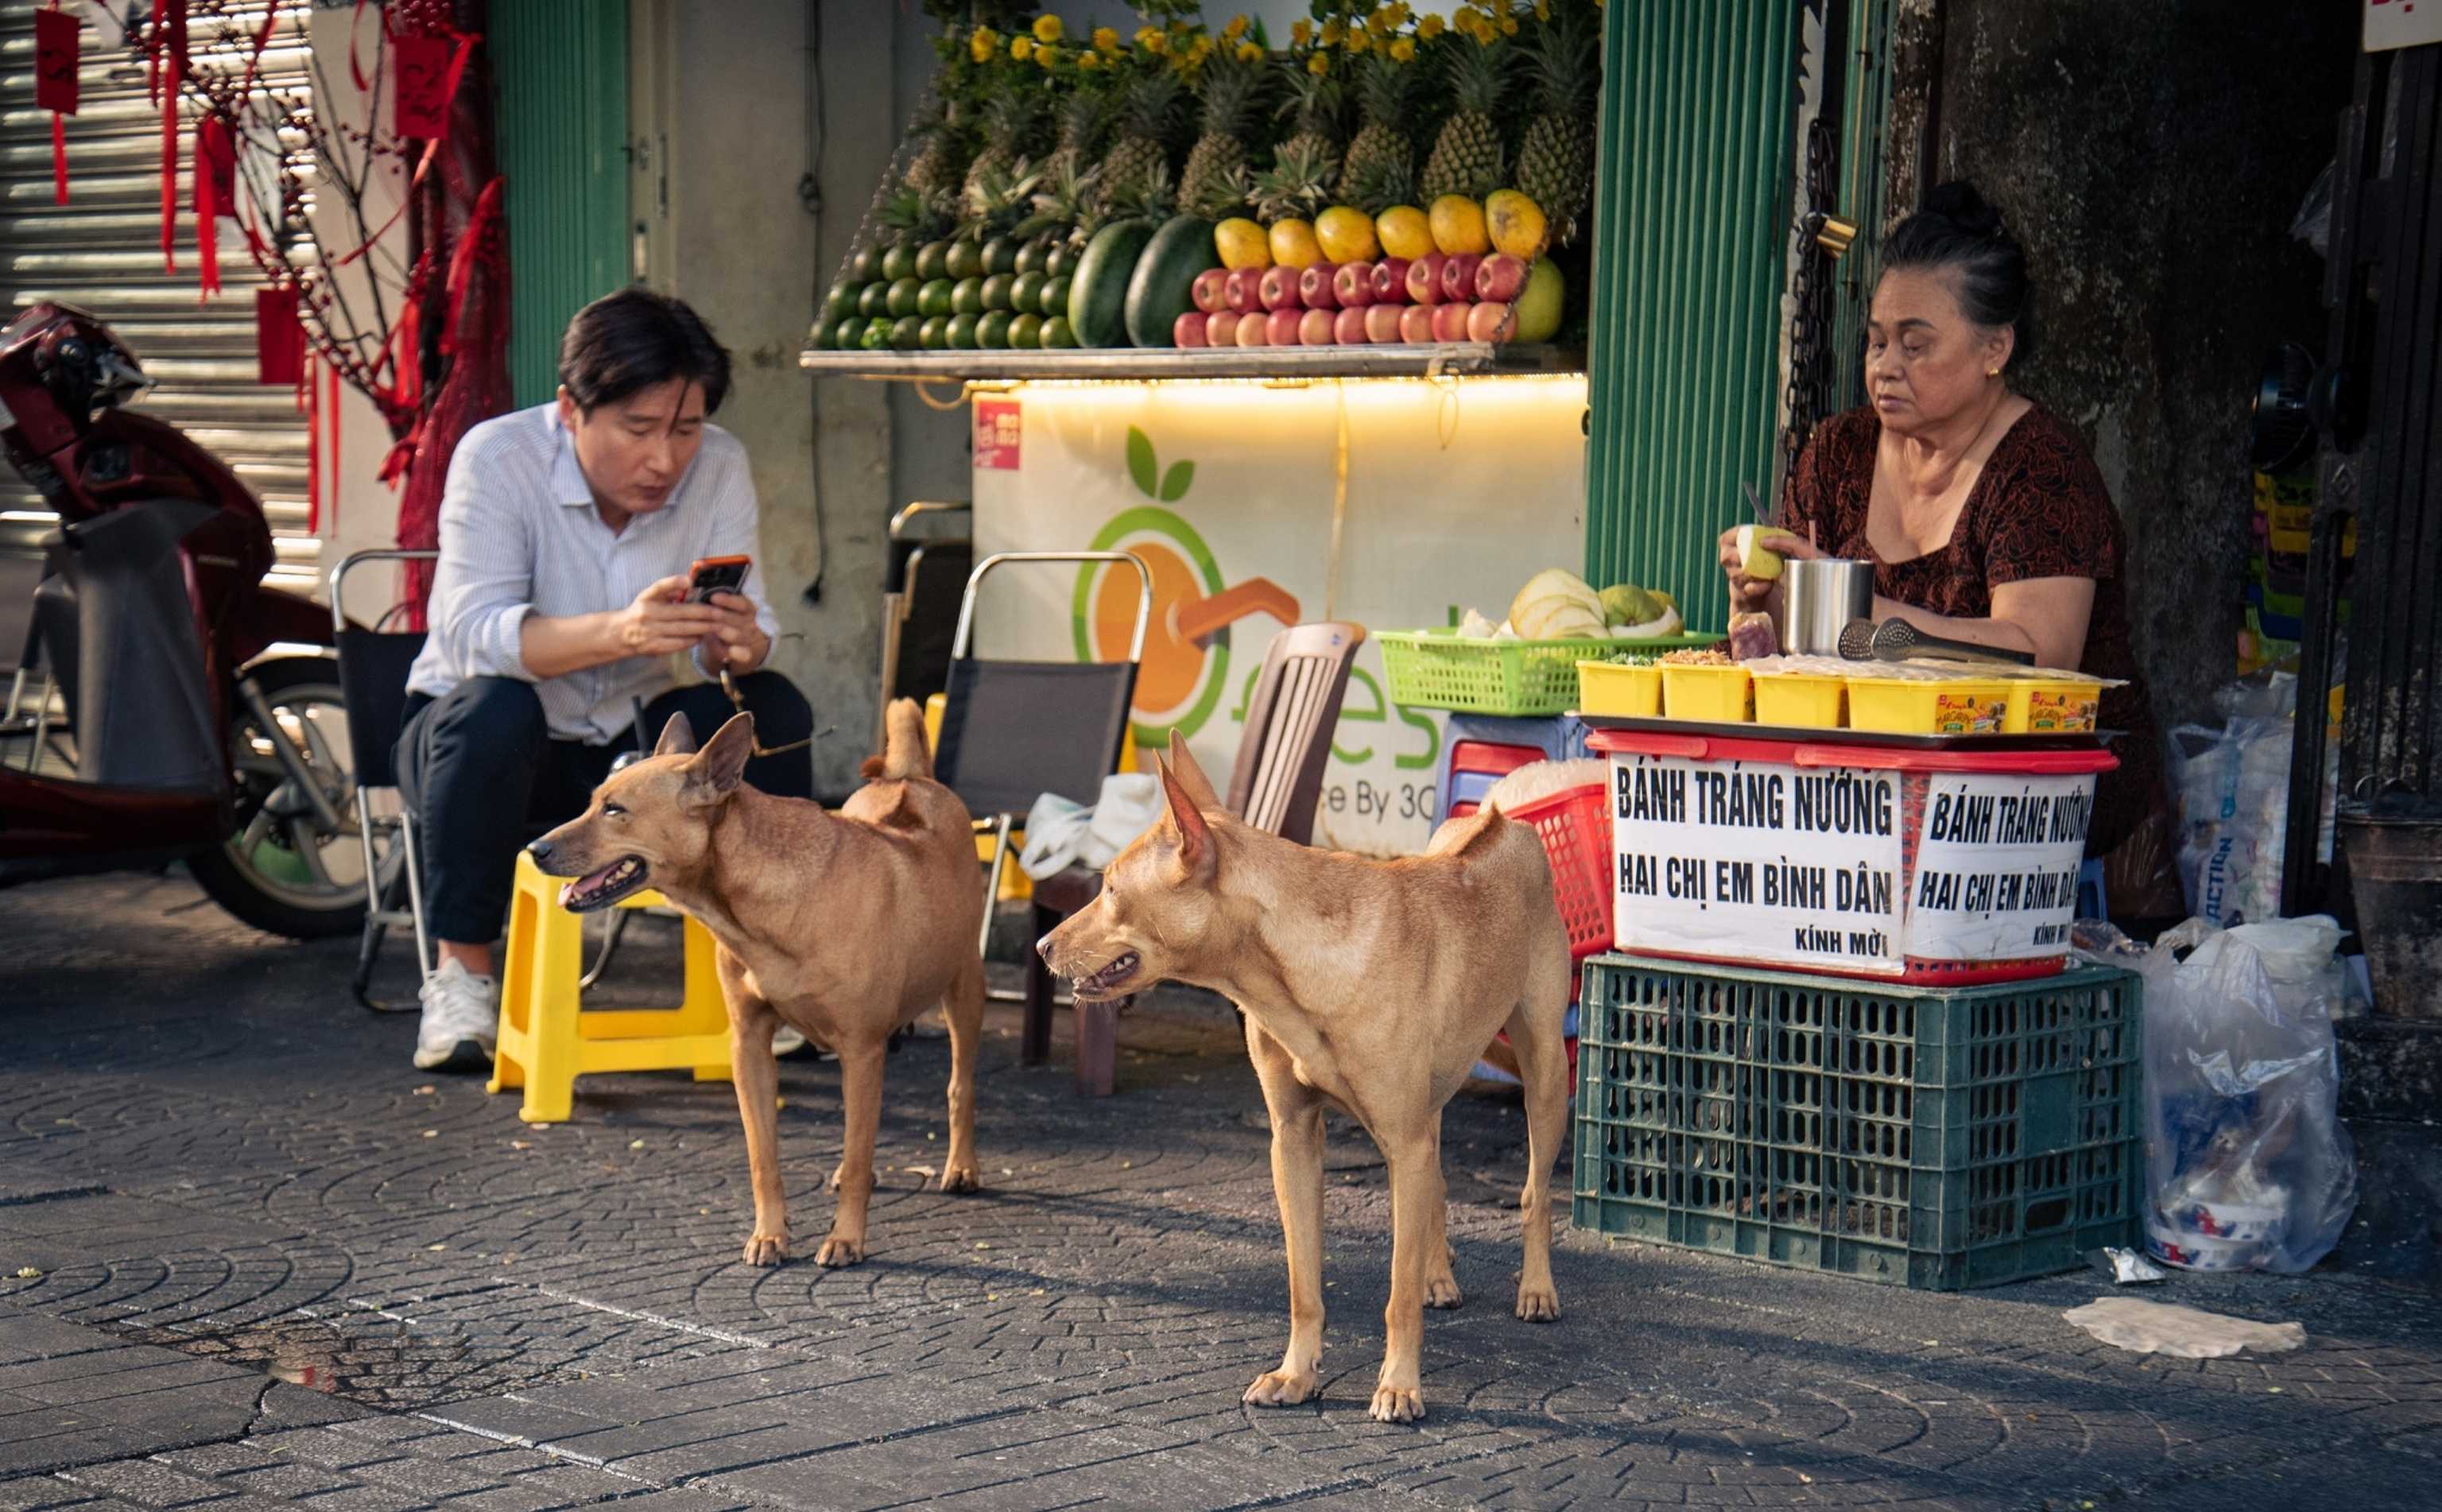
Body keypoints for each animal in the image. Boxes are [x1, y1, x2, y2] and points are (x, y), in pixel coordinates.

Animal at [532, 703, 981, 1270]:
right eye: (593, 802)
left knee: (957, 1086)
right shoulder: (750, 1047)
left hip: (963, 993)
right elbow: (763, 1155)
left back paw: (961, 1167)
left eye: (615, 810)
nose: (534, 849)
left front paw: (846, 1238)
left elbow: (861, 1149)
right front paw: (769, 1235)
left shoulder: (861, 1048)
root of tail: (910, 779)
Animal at [1040, 732, 1572, 1417]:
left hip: (1545, 1072)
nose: (1042, 947)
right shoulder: (1294, 1138)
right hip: (1433, 1107)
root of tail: (1502, 819)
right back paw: (1438, 1275)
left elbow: (1395, 1295)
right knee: (1438, 1188)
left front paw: (1399, 1384)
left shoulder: (1401, 1141)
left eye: (1108, 888)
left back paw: (1536, 1289)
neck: (1291, 972)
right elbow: (1304, 1282)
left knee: (1534, 1194)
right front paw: (1297, 1374)